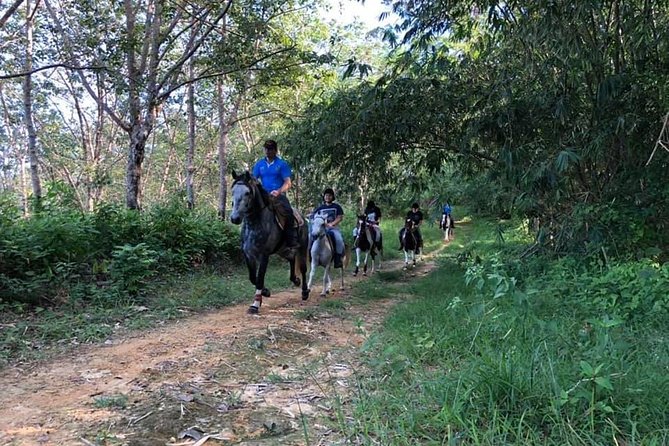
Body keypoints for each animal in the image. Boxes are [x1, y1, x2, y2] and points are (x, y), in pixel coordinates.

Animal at [228, 171, 310, 314]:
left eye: (247, 193)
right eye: (233, 191)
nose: (235, 218)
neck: (254, 224)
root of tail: (302, 217)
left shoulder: (264, 255)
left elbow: (260, 278)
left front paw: (255, 305)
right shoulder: (248, 255)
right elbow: (252, 277)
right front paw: (265, 292)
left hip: (302, 247)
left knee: (303, 268)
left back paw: (304, 292)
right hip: (282, 250)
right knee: (291, 259)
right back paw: (295, 280)